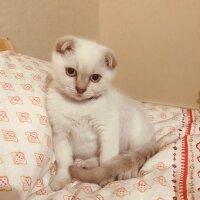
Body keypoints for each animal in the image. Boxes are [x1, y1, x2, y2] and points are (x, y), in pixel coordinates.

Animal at [46, 35, 158, 191]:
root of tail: (153, 137)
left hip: (135, 139)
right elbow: (64, 162)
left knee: (128, 158)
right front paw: (62, 179)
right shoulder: (60, 134)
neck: (79, 106)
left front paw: (105, 179)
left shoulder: (107, 129)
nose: (80, 89)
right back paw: (86, 164)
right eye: (70, 72)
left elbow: (107, 160)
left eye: (95, 78)